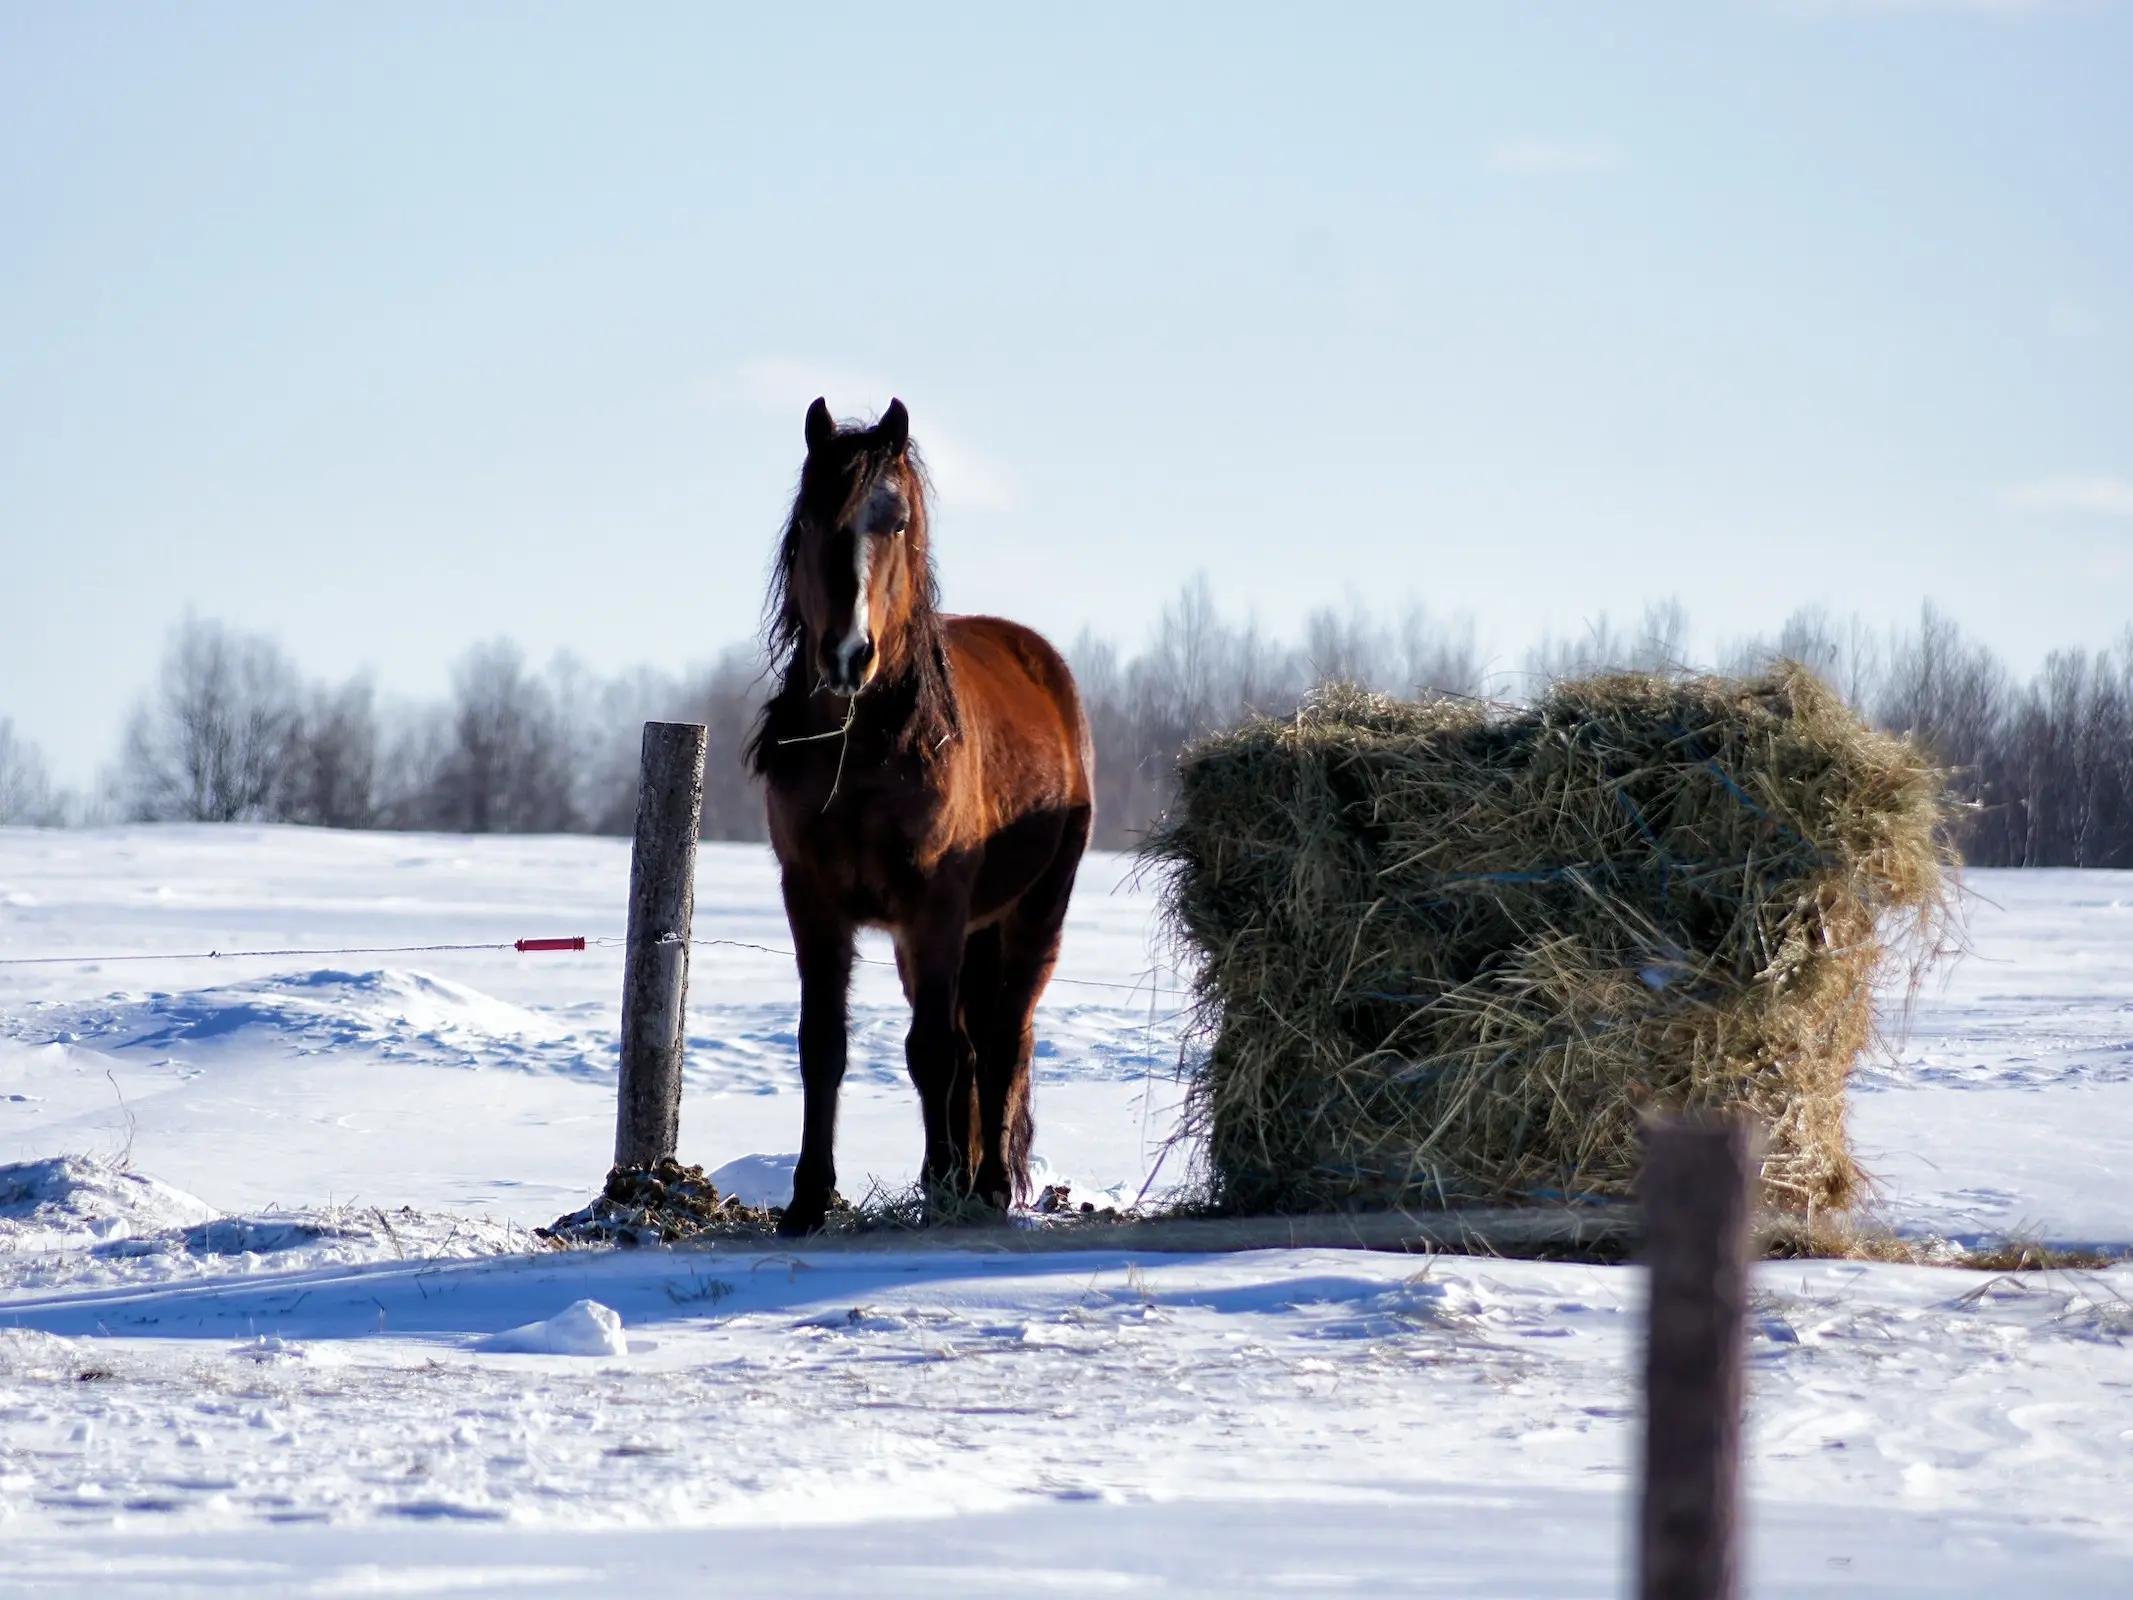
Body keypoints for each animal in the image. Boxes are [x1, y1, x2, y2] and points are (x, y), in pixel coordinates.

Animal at [746, 401, 1092, 1237]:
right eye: (810, 519)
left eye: (895, 522)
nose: (847, 654)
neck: (867, 747)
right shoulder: (812, 898)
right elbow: (822, 1043)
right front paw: (807, 1199)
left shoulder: (932, 903)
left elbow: (932, 1049)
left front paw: (939, 1187)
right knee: (975, 1045)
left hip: (1034, 912)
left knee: (1000, 1043)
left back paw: (988, 1186)